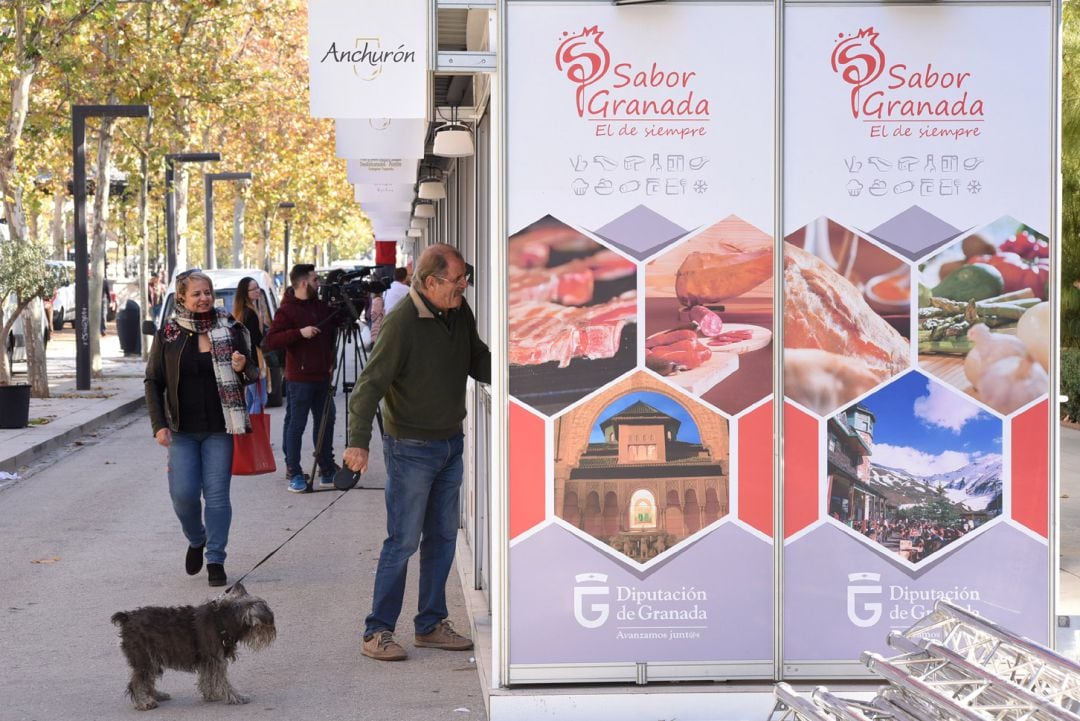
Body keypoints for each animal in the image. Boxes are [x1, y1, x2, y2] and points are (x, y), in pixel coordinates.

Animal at [110, 578, 276, 708]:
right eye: (268, 616)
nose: (273, 630)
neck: (225, 620)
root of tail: (126, 618)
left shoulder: (209, 661)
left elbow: (207, 678)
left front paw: (211, 694)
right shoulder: (215, 660)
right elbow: (222, 680)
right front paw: (235, 697)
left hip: (152, 660)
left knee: (147, 680)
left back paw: (156, 695)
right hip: (144, 659)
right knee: (137, 682)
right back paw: (144, 702)